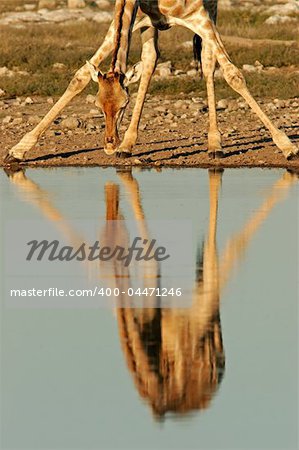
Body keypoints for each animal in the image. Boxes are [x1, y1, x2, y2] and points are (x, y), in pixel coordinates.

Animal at [4, 0, 299, 165]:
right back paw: (127, 146)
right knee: (149, 62)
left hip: (207, 12)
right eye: (98, 106)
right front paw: (18, 150)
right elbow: (79, 76)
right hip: (150, 24)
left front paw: (287, 147)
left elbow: (233, 74)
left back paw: (215, 145)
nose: (108, 145)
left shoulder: (200, 17)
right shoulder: (136, 18)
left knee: (208, 63)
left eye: (124, 105)